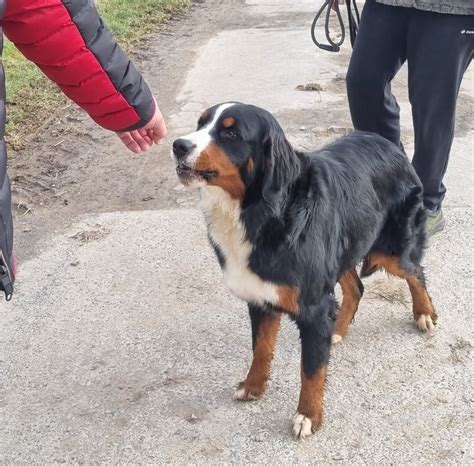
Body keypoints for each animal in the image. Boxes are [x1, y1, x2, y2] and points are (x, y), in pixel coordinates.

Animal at [170, 103, 436, 440]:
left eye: (231, 132)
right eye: (200, 123)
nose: (178, 145)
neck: (264, 211)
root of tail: (390, 144)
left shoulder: (313, 305)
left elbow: (311, 369)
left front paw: (308, 415)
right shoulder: (262, 296)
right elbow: (261, 348)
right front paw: (253, 387)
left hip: (389, 251)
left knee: (416, 272)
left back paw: (424, 313)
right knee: (356, 288)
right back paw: (337, 330)